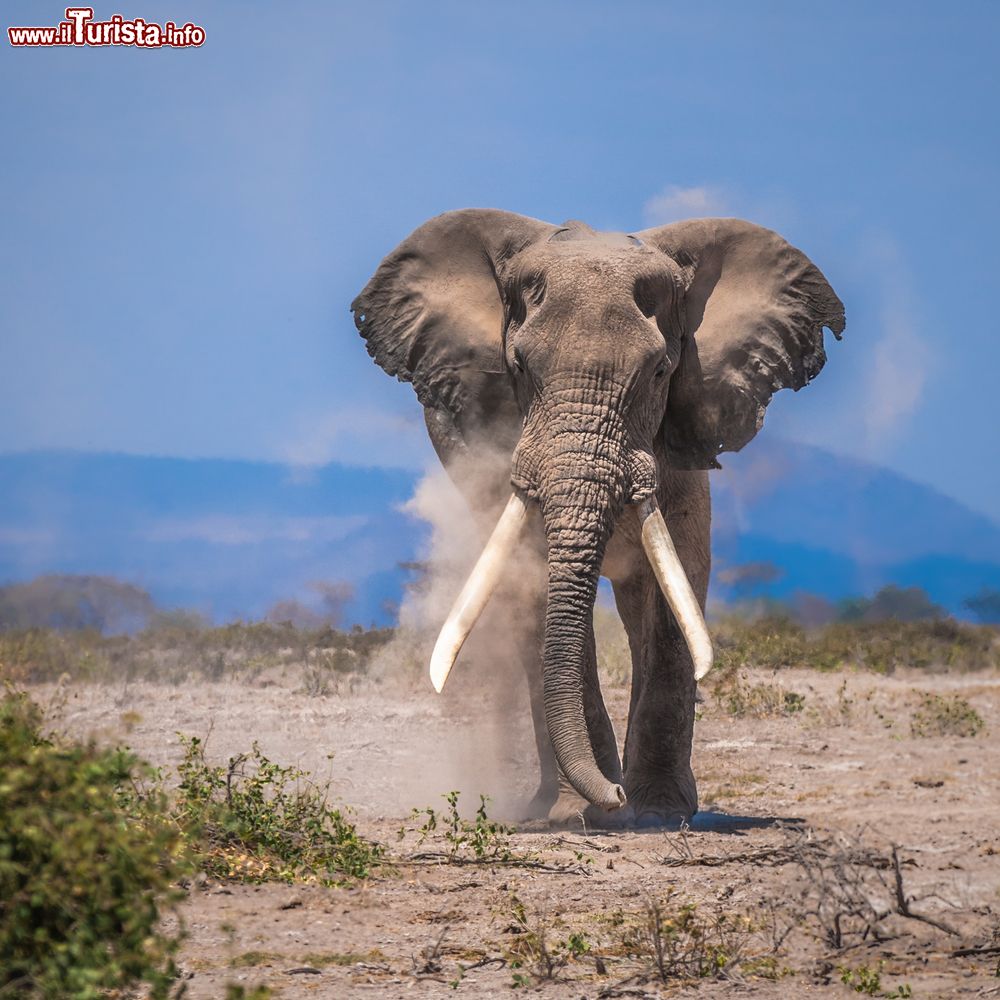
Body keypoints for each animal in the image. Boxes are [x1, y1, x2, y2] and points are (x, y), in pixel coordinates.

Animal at [352, 211, 844, 828]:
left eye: (660, 371)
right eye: (518, 367)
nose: (614, 797)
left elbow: (676, 583)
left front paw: (658, 812)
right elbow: (541, 588)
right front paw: (582, 810)